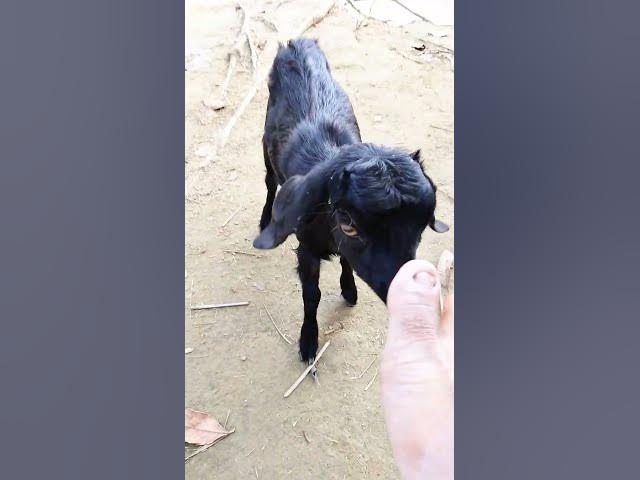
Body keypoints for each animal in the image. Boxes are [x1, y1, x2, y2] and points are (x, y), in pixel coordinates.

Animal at [254, 38, 448, 362]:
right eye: (348, 223)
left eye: (421, 227)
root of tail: (297, 43)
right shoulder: (306, 246)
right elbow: (312, 294)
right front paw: (308, 341)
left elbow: (346, 259)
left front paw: (349, 289)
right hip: (265, 141)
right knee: (269, 181)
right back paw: (265, 217)